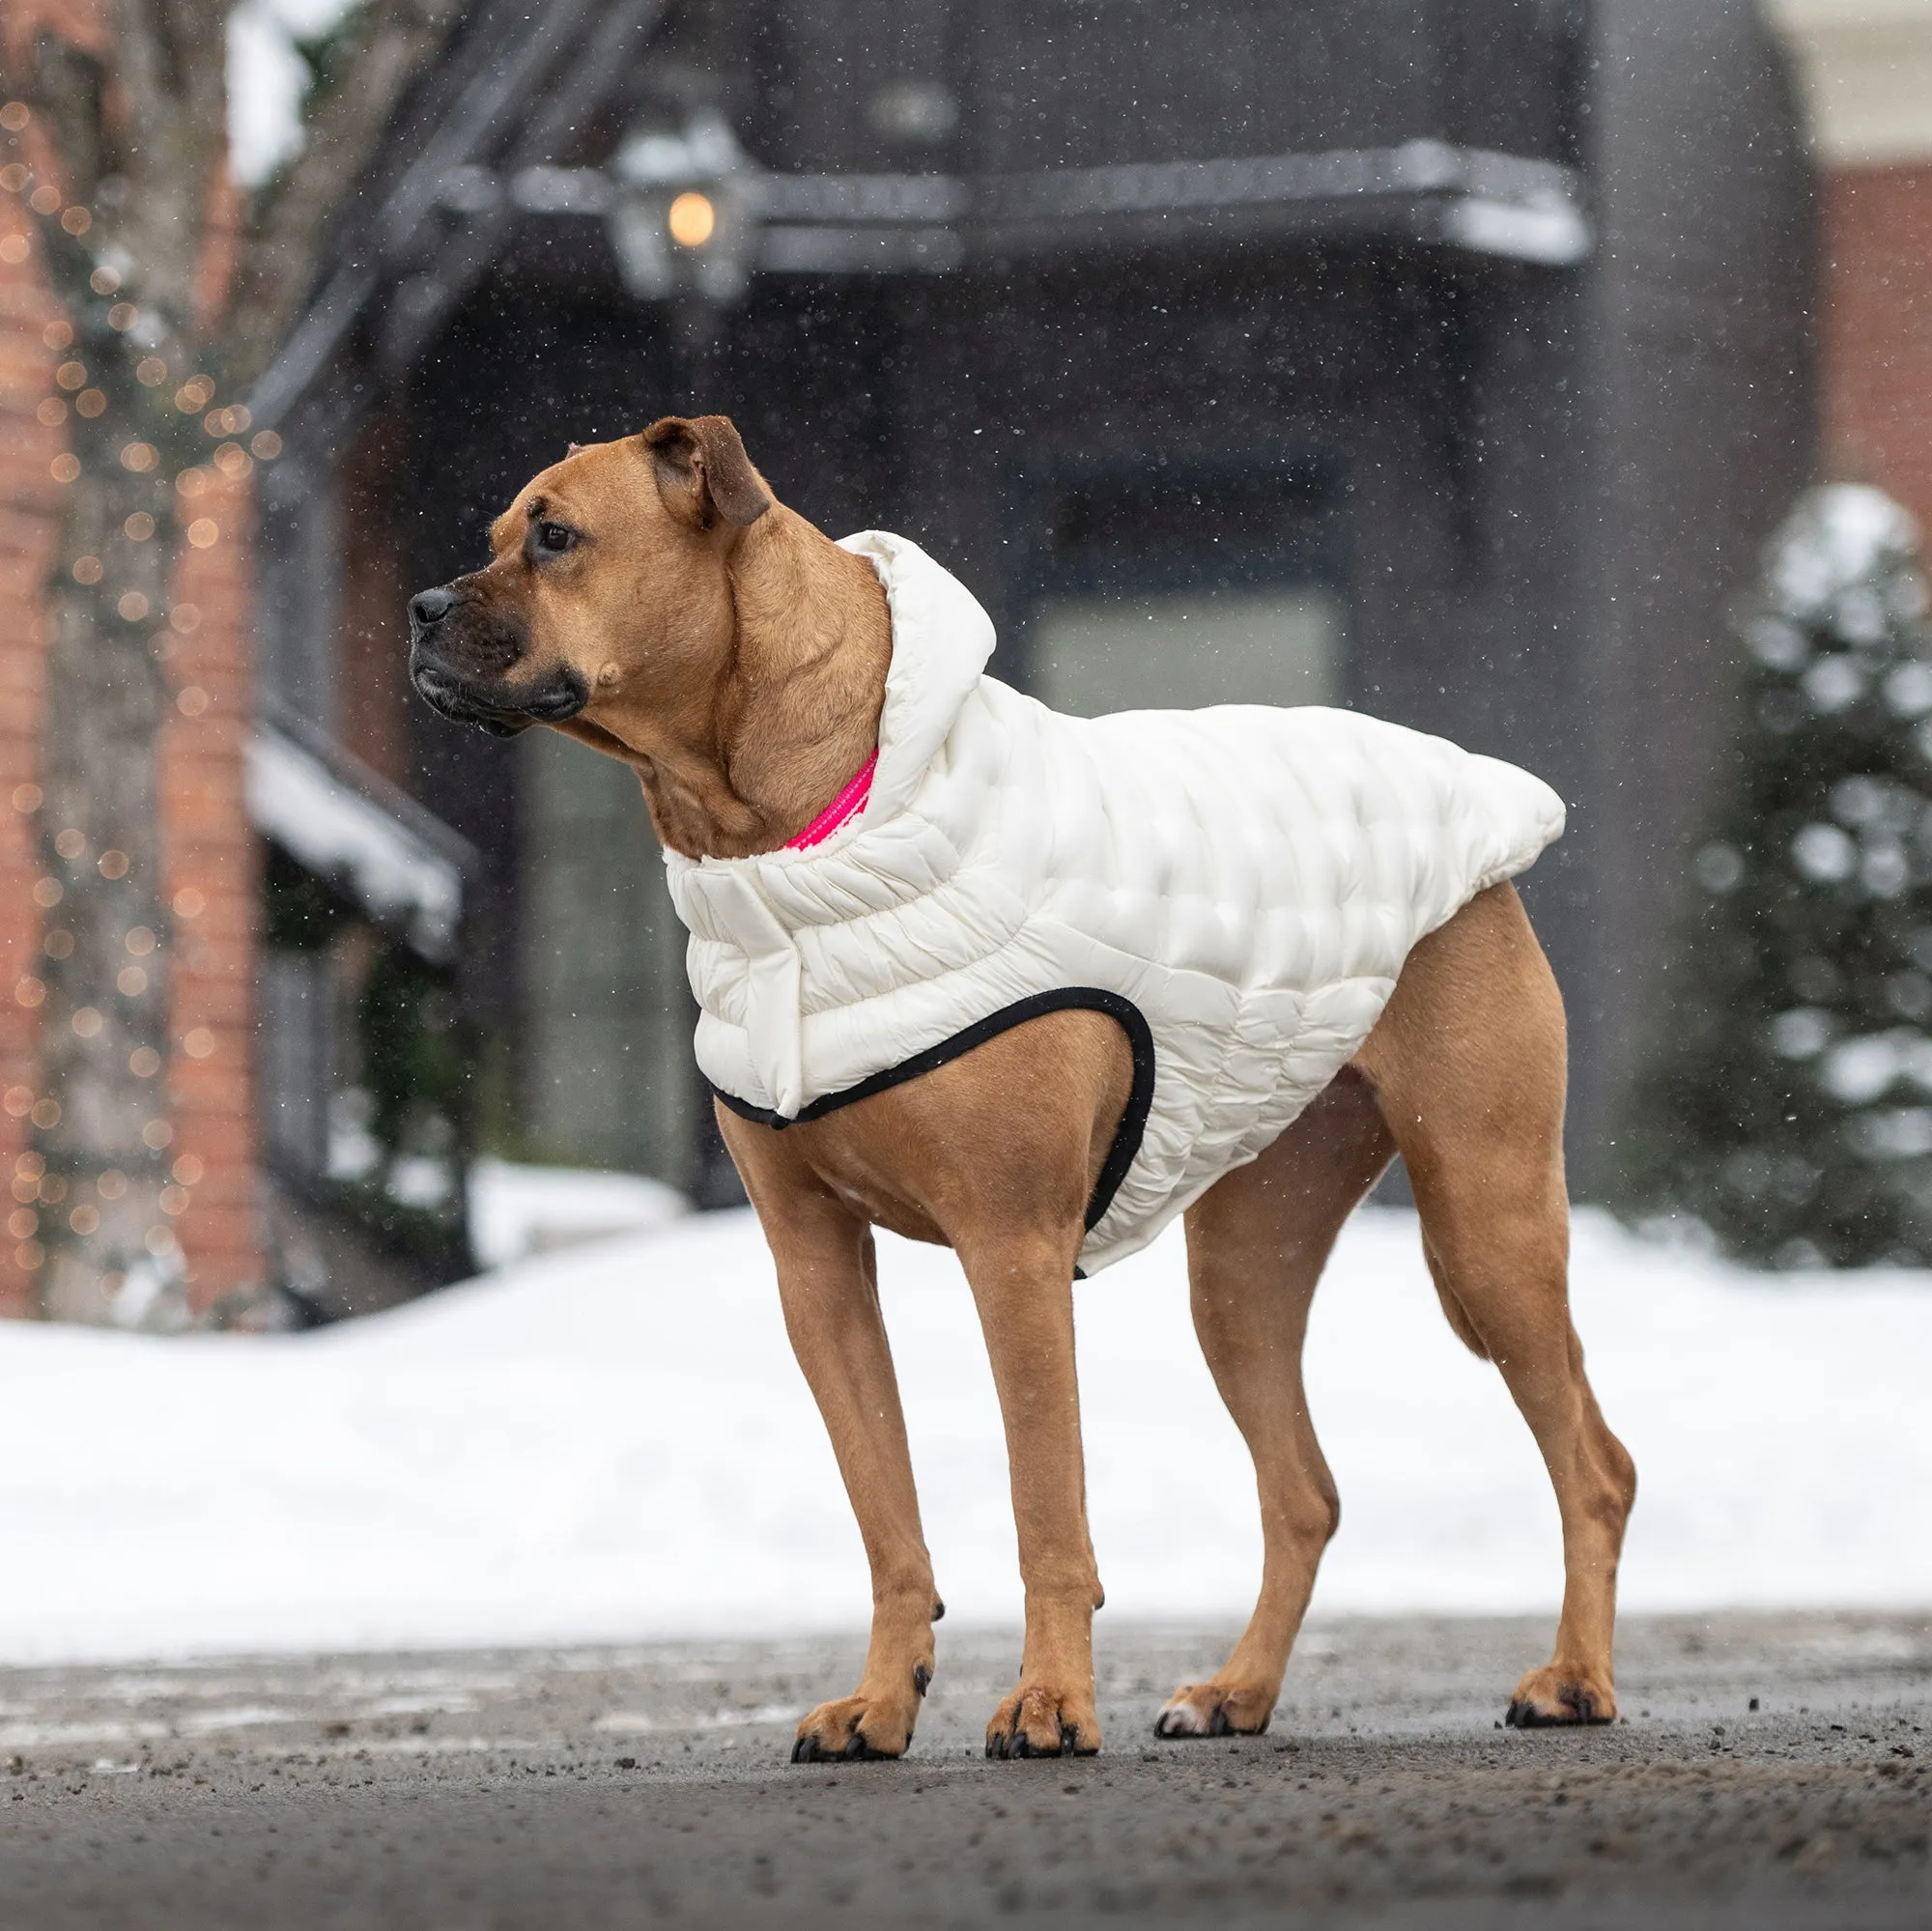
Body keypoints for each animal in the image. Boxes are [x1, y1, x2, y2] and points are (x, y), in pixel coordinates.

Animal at [415, 414, 1638, 1761]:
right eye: (491, 534)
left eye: (555, 535)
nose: (421, 609)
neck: (794, 845)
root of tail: (1468, 790)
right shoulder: (814, 1268)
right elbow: (885, 1516)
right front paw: (881, 1699)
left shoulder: (1011, 1248)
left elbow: (1044, 1504)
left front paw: (1049, 1700)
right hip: (1243, 1269)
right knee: (1302, 1491)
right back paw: (1237, 1689)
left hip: (1486, 1212)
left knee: (1592, 1463)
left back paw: (1572, 1677)